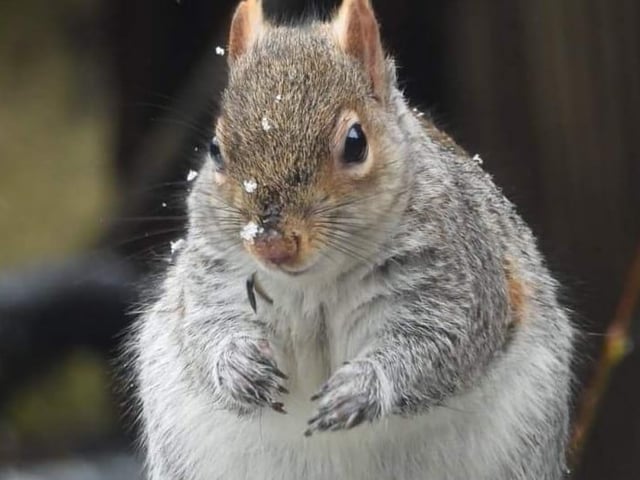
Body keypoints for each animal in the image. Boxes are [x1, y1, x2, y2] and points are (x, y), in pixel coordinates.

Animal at [131, 0, 575, 479]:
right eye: (216, 149)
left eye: (356, 142)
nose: (271, 244)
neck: (315, 281)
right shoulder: (216, 272)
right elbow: (203, 328)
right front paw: (238, 368)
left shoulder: (458, 280)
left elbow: (440, 344)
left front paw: (362, 388)